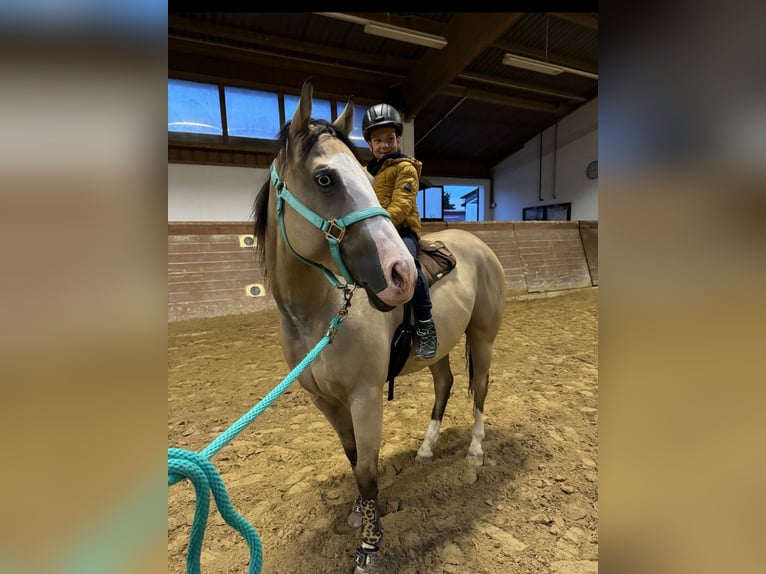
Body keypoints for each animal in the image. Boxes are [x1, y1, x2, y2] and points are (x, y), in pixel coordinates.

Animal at [254, 79, 510, 572]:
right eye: (325, 178)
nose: (402, 275)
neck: (319, 315)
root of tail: (479, 246)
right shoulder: (326, 402)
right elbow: (353, 457)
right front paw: (358, 512)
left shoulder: (366, 396)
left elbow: (369, 470)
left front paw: (369, 545)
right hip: (440, 348)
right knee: (446, 384)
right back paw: (427, 448)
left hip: (483, 338)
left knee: (481, 388)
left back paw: (474, 451)